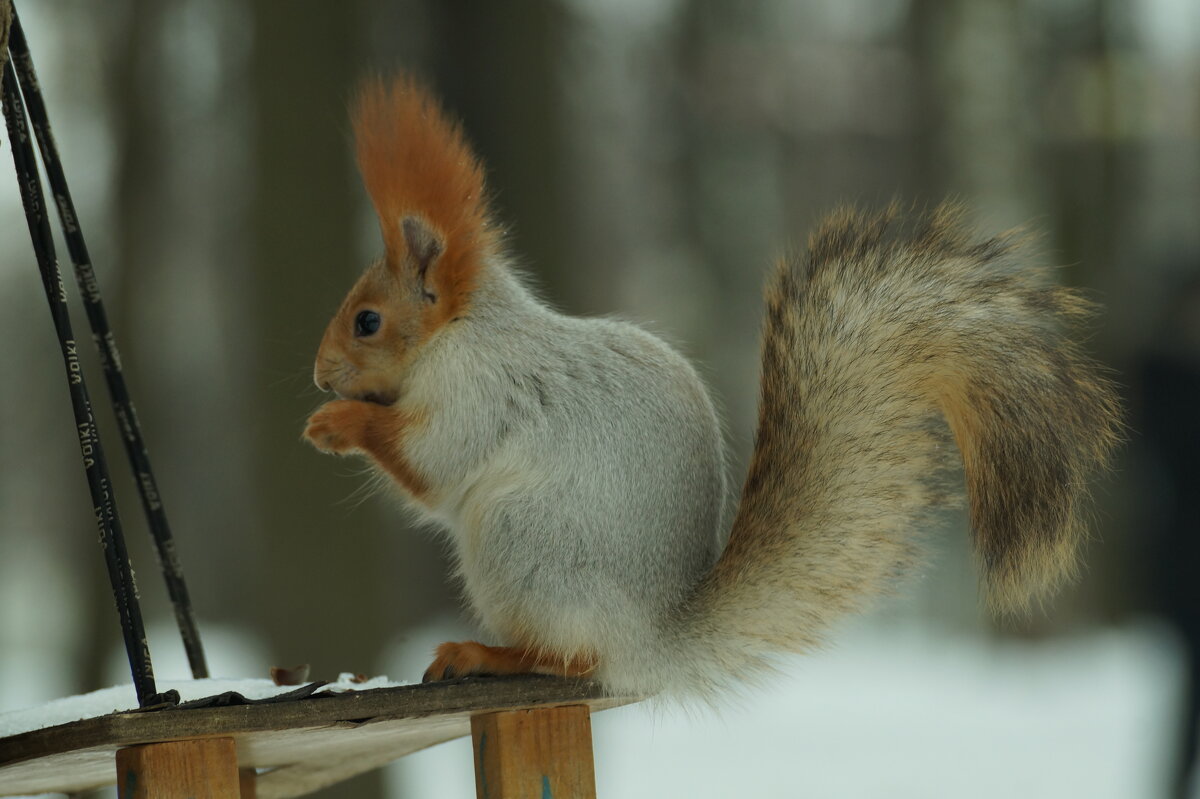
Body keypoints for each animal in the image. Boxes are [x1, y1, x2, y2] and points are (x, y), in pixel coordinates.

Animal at [302, 76, 1123, 695]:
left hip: (523, 541)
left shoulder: (481, 392)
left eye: (368, 321)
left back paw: (486, 653)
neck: (462, 332)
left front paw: (336, 424)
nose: (317, 374)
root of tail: (652, 640)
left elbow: (434, 465)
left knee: (573, 658)